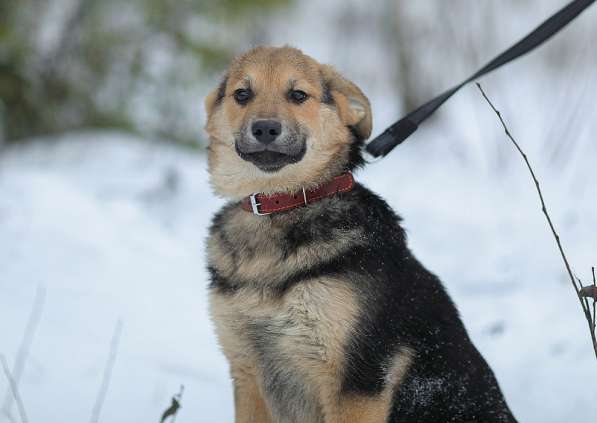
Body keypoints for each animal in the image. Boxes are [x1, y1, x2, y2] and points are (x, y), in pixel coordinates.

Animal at [203, 47, 516, 423]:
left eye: (298, 95)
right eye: (242, 94)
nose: (265, 128)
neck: (283, 205)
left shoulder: (357, 382)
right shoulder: (247, 372)